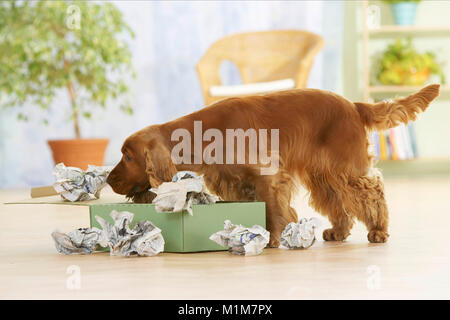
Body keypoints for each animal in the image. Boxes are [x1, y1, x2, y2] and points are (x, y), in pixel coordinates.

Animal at [108, 84, 440, 246]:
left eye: (127, 155)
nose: (109, 180)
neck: (206, 133)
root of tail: (355, 106)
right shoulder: (238, 181)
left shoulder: (268, 175)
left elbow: (272, 207)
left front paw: (272, 239)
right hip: (323, 175)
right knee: (337, 202)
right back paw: (338, 231)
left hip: (347, 169)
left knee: (373, 192)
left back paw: (379, 231)